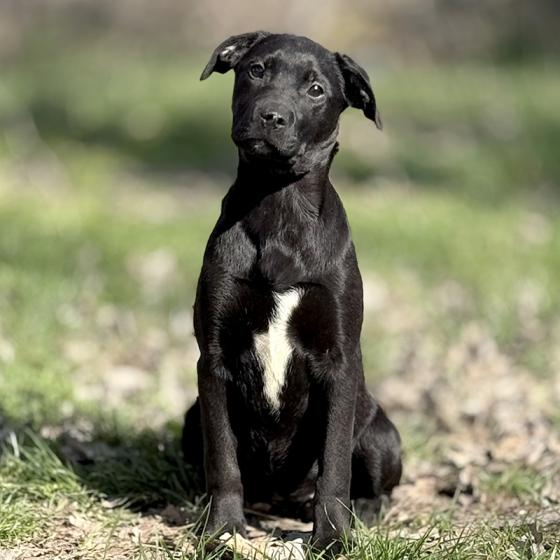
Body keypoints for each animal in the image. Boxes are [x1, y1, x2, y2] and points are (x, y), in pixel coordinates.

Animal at [182, 32, 402, 551]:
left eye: (316, 89)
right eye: (256, 70)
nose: (272, 115)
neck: (279, 206)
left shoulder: (339, 361)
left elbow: (335, 466)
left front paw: (333, 538)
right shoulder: (213, 359)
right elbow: (223, 460)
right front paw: (222, 531)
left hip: (382, 433)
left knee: (374, 485)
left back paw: (360, 513)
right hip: (189, 420)